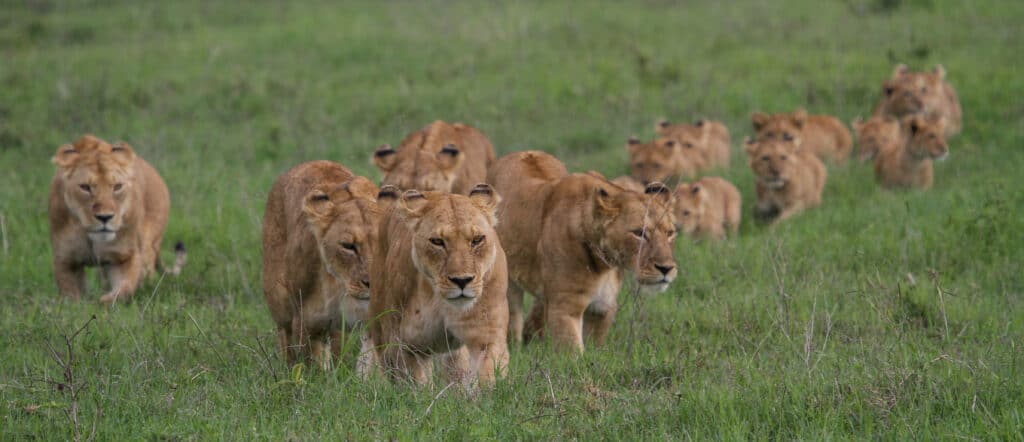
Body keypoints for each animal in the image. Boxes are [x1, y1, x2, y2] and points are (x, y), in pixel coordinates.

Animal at [48, 135, 185, 304]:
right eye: (85, 187)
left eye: (117, 186)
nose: (105, 217)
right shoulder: (66, 260)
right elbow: (71, 296)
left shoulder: (125, 256)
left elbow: (124, 289)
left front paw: (102, 302)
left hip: (148, 246)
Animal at [262, 160, 382, 368]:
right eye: (348, 246)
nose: (373, 284)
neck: (339, 285)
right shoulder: (306, 323)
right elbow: (313, 366)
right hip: (278, 298)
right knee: (285, 336)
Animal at [368, 183, 512, 386]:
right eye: (437, 241)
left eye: (477, 239)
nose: (462, 281)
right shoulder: (406, 344)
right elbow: (416, 383)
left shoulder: (486, 334)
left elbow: (487, 376)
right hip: (381, 327)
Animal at [487, 151, 679, 351]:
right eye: (638, 233)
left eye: (670, 233)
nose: (666, 269)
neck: (605, 264)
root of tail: (517, 153)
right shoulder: (565, 307)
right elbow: (574, 353)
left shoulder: (603, 307)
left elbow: (595, 349)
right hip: (507, 282)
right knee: (512, 315)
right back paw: (515, 346)